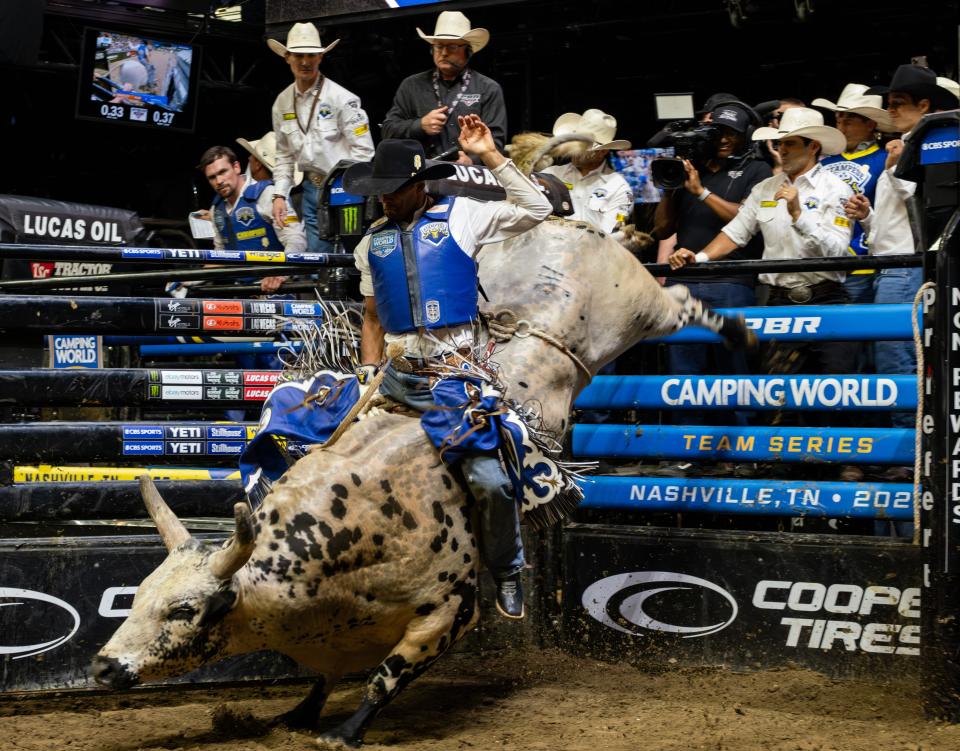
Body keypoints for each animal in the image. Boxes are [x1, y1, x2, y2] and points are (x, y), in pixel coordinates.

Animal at [90, 217, 752, 748]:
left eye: (184, 609)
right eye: (137, 596)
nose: (103, 668)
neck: (343, 535)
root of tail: (566, 220)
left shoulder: (447, 613)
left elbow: (387, 676)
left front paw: (343, 731)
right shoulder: (332, 633)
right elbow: (324, 675)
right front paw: (301, 712)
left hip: (638, 306)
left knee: (682, 301)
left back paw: (740, 332)